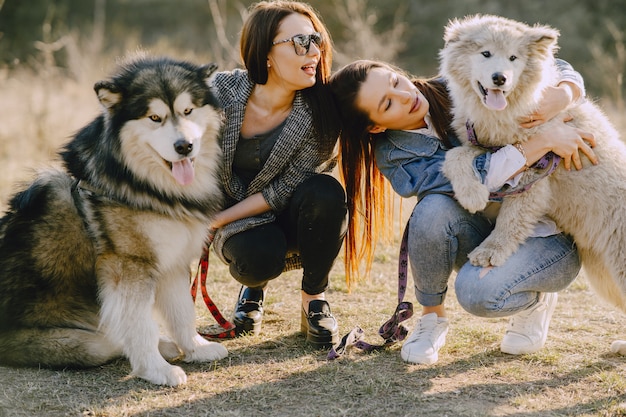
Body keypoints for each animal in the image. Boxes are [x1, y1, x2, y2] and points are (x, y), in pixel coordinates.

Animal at [0, 54, 227, 384]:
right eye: (154, 118)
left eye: (188, 111)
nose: (184, 146)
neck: (146, 185)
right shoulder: (129, 265)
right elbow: (140, 325)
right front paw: (156, 369)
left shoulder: (172, 260)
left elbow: (183, 311)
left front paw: (196, 349)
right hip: (82, 343)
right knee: (110, 338)